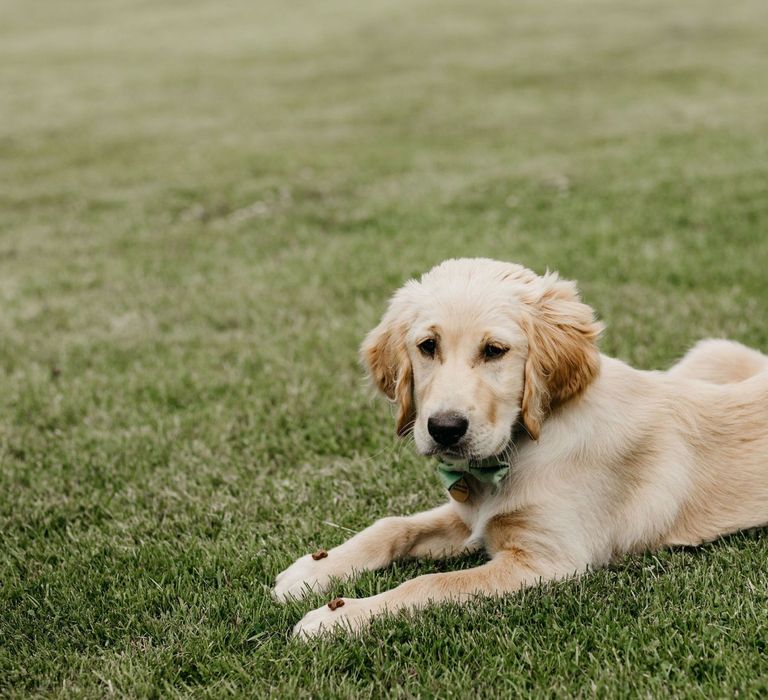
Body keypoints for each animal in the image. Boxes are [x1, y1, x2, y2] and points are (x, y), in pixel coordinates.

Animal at [274, 260, 768, 636]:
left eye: (495, 351)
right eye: (427, 346)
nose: (445, 429)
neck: (522, 447)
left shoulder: (545, 561)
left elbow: (432, 584)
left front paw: (338, 618)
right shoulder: (471, 517)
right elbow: (394, 526)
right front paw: (314, 571)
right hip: (713, 352)